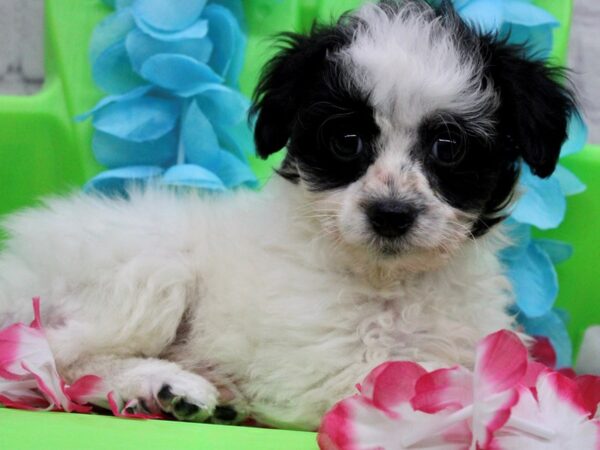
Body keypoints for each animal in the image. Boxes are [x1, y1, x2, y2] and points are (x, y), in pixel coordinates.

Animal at [0, 0, 576, 428]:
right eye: (346, 140)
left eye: (448, 147)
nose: (390, 214)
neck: (390, 283)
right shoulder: (324, 367)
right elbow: (435, 384)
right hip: (146, 274)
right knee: (51, 359)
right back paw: (163, 384)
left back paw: (171, 391)